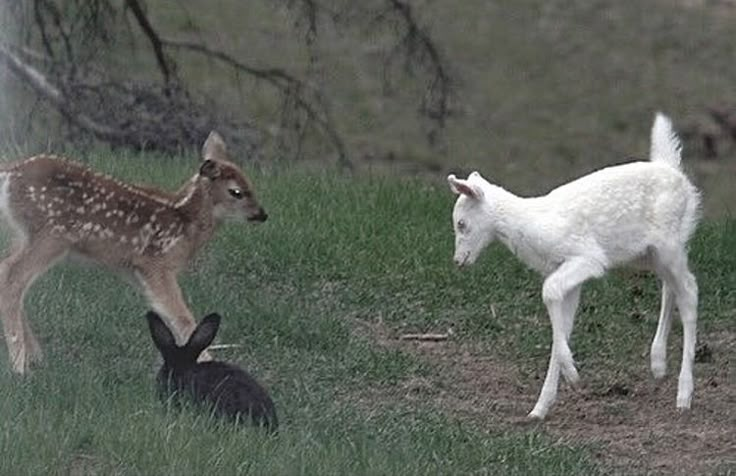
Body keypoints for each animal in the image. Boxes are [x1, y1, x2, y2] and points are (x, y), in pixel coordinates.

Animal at [0, 131, 267, 374]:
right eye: (237, 192)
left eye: (251, 184)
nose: (263, 214)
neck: (184, 222)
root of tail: (11, 173)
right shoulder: (155, 263)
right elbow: (180, 315)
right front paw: (208, 363)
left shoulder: (136, 272)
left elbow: (164, 312)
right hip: (50, 236)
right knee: (13, 279)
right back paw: (20, 366)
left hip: (24, 234)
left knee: (6, 270)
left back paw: (35, 356)